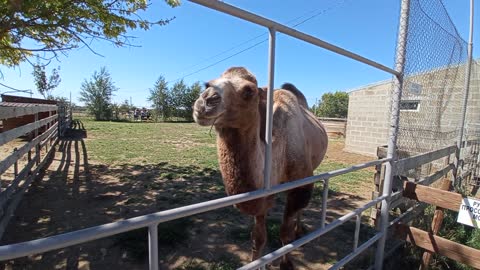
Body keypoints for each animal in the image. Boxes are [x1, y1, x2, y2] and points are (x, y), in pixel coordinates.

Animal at [193, 66, 328, 268]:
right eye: (206, 84)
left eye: (249, 90)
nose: (206, 100)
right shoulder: (264, 192)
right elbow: (258, 237)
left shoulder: (300, 183)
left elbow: (285, 233)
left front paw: (286, 264)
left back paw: (299, 230)